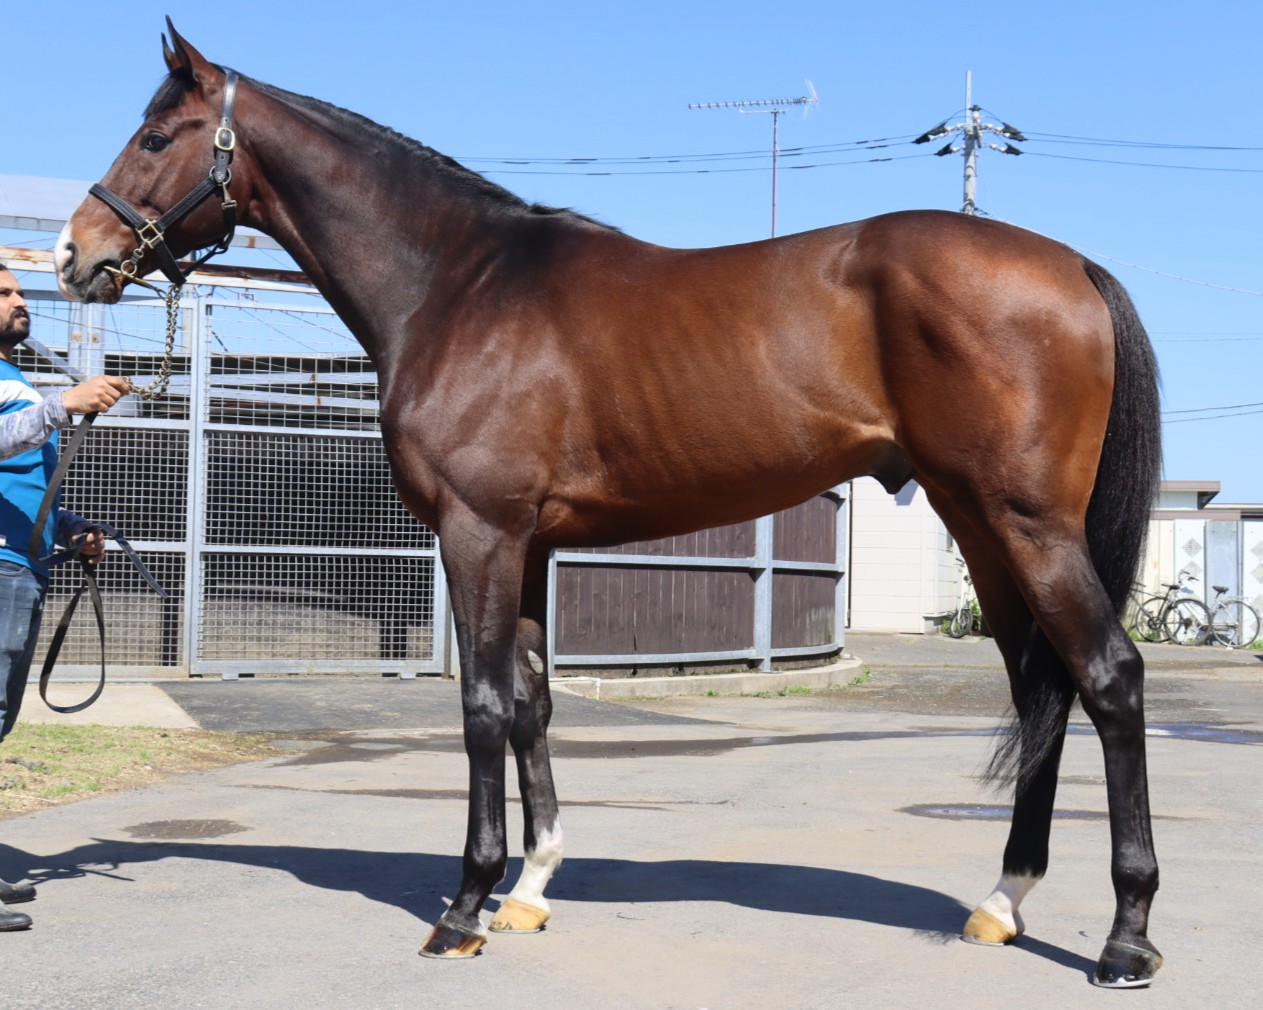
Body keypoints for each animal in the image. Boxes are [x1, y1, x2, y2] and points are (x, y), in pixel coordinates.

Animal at [54, 21, 1164, 987]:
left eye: (156, 136)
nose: (75, 254)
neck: (459, 285)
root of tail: (1071, 265)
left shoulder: (478, 534)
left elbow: (482, 706)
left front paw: (465, 907)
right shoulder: (532, 546)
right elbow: (534, 705)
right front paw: (529, 888)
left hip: (1027, 525)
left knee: (1109, 677)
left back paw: (1125, 937)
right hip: (981, 526)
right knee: (1039, 684)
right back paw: (1002, 900)